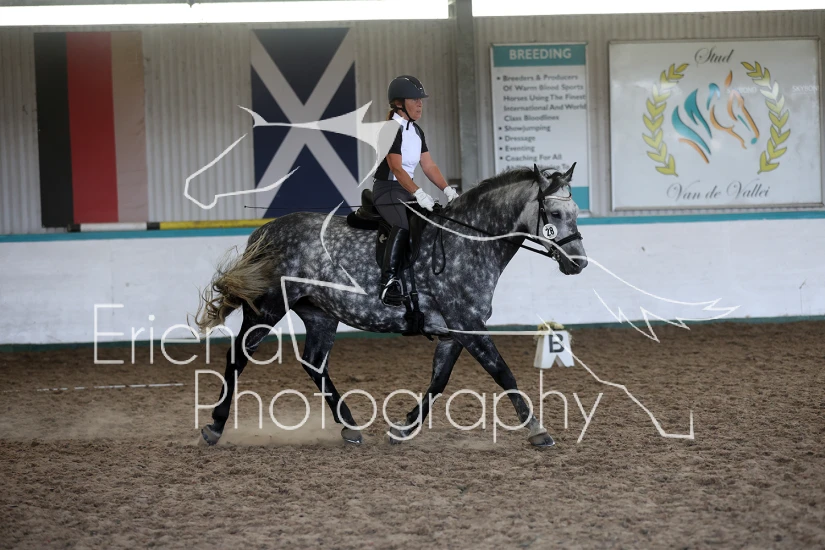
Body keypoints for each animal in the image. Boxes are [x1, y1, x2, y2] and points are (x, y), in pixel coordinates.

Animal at [196, 163, 588, 447]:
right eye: (553, 213)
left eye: (576, 211)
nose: (579, 262)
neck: (468, 240)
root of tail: (265, 231)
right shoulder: (467, 323)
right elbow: (502, 372)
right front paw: (537, 430)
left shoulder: (453, 330)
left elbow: (439, 381)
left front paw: (402, 428)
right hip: (268, 308)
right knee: (238, 356)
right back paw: (215, 426)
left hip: (320, 314)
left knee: (314, 364)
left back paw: (351, 427)